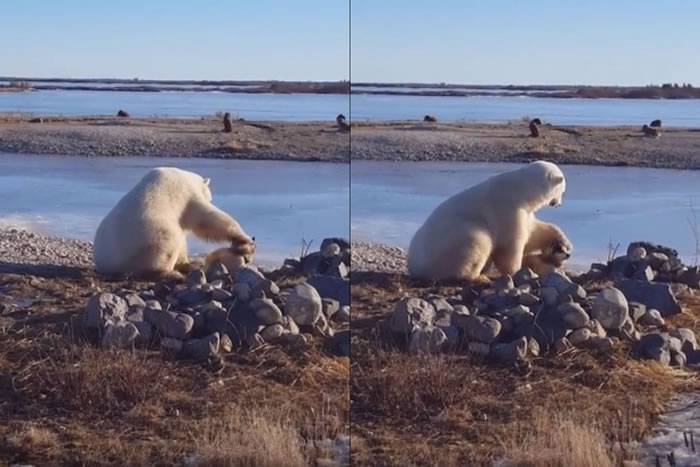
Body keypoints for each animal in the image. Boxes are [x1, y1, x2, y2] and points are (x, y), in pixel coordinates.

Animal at [93, 168, 254, 278]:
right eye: (210, 197)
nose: (210, 199)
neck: (187, 177)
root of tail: (107, 264)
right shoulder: (187, 194)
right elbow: (207, 219)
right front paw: (245, 240)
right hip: (147, 238)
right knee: (168, 242)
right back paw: (172, 273)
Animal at [408, 161, 572, 282]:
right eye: (563, 191)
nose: (559, 204)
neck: (520, 189)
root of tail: (414, 266)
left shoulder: (524, 211)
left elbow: (534, 232)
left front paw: (564, 242)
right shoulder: (507, 209)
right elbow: (510, 244)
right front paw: (517, 271)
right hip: (451, 242)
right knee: (478, 241)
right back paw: (479, 277)